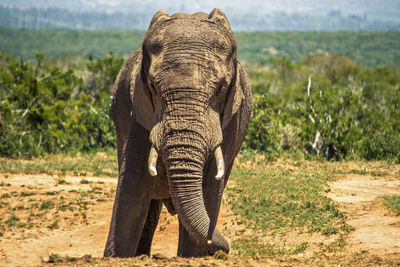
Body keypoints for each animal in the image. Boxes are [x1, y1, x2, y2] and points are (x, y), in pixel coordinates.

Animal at [104, 8, 252, 258]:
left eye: (220, 89)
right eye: (153, 87)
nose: (227, 248)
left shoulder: (233, 118)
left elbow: (209, 187)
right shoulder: (138, 113)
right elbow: (133, 186)